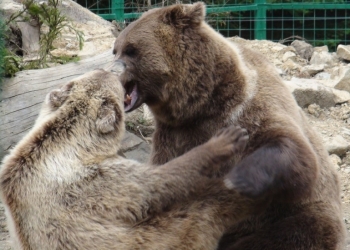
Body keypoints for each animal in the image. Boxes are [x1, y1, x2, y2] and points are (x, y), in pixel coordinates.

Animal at [0, 69, 254, 250]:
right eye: (117, 82)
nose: (114, 70)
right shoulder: (92, 183)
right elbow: (155, 184)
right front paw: (225, 140)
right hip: (167, 235)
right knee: (203, 210)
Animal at [113, 2, 346, 250]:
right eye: (116, 49)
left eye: (131, 50)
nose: (112, 72)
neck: (200, 103)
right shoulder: (174, 135)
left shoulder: (248, 108)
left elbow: (294, 150)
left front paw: (237, 177)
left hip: (291, 217)